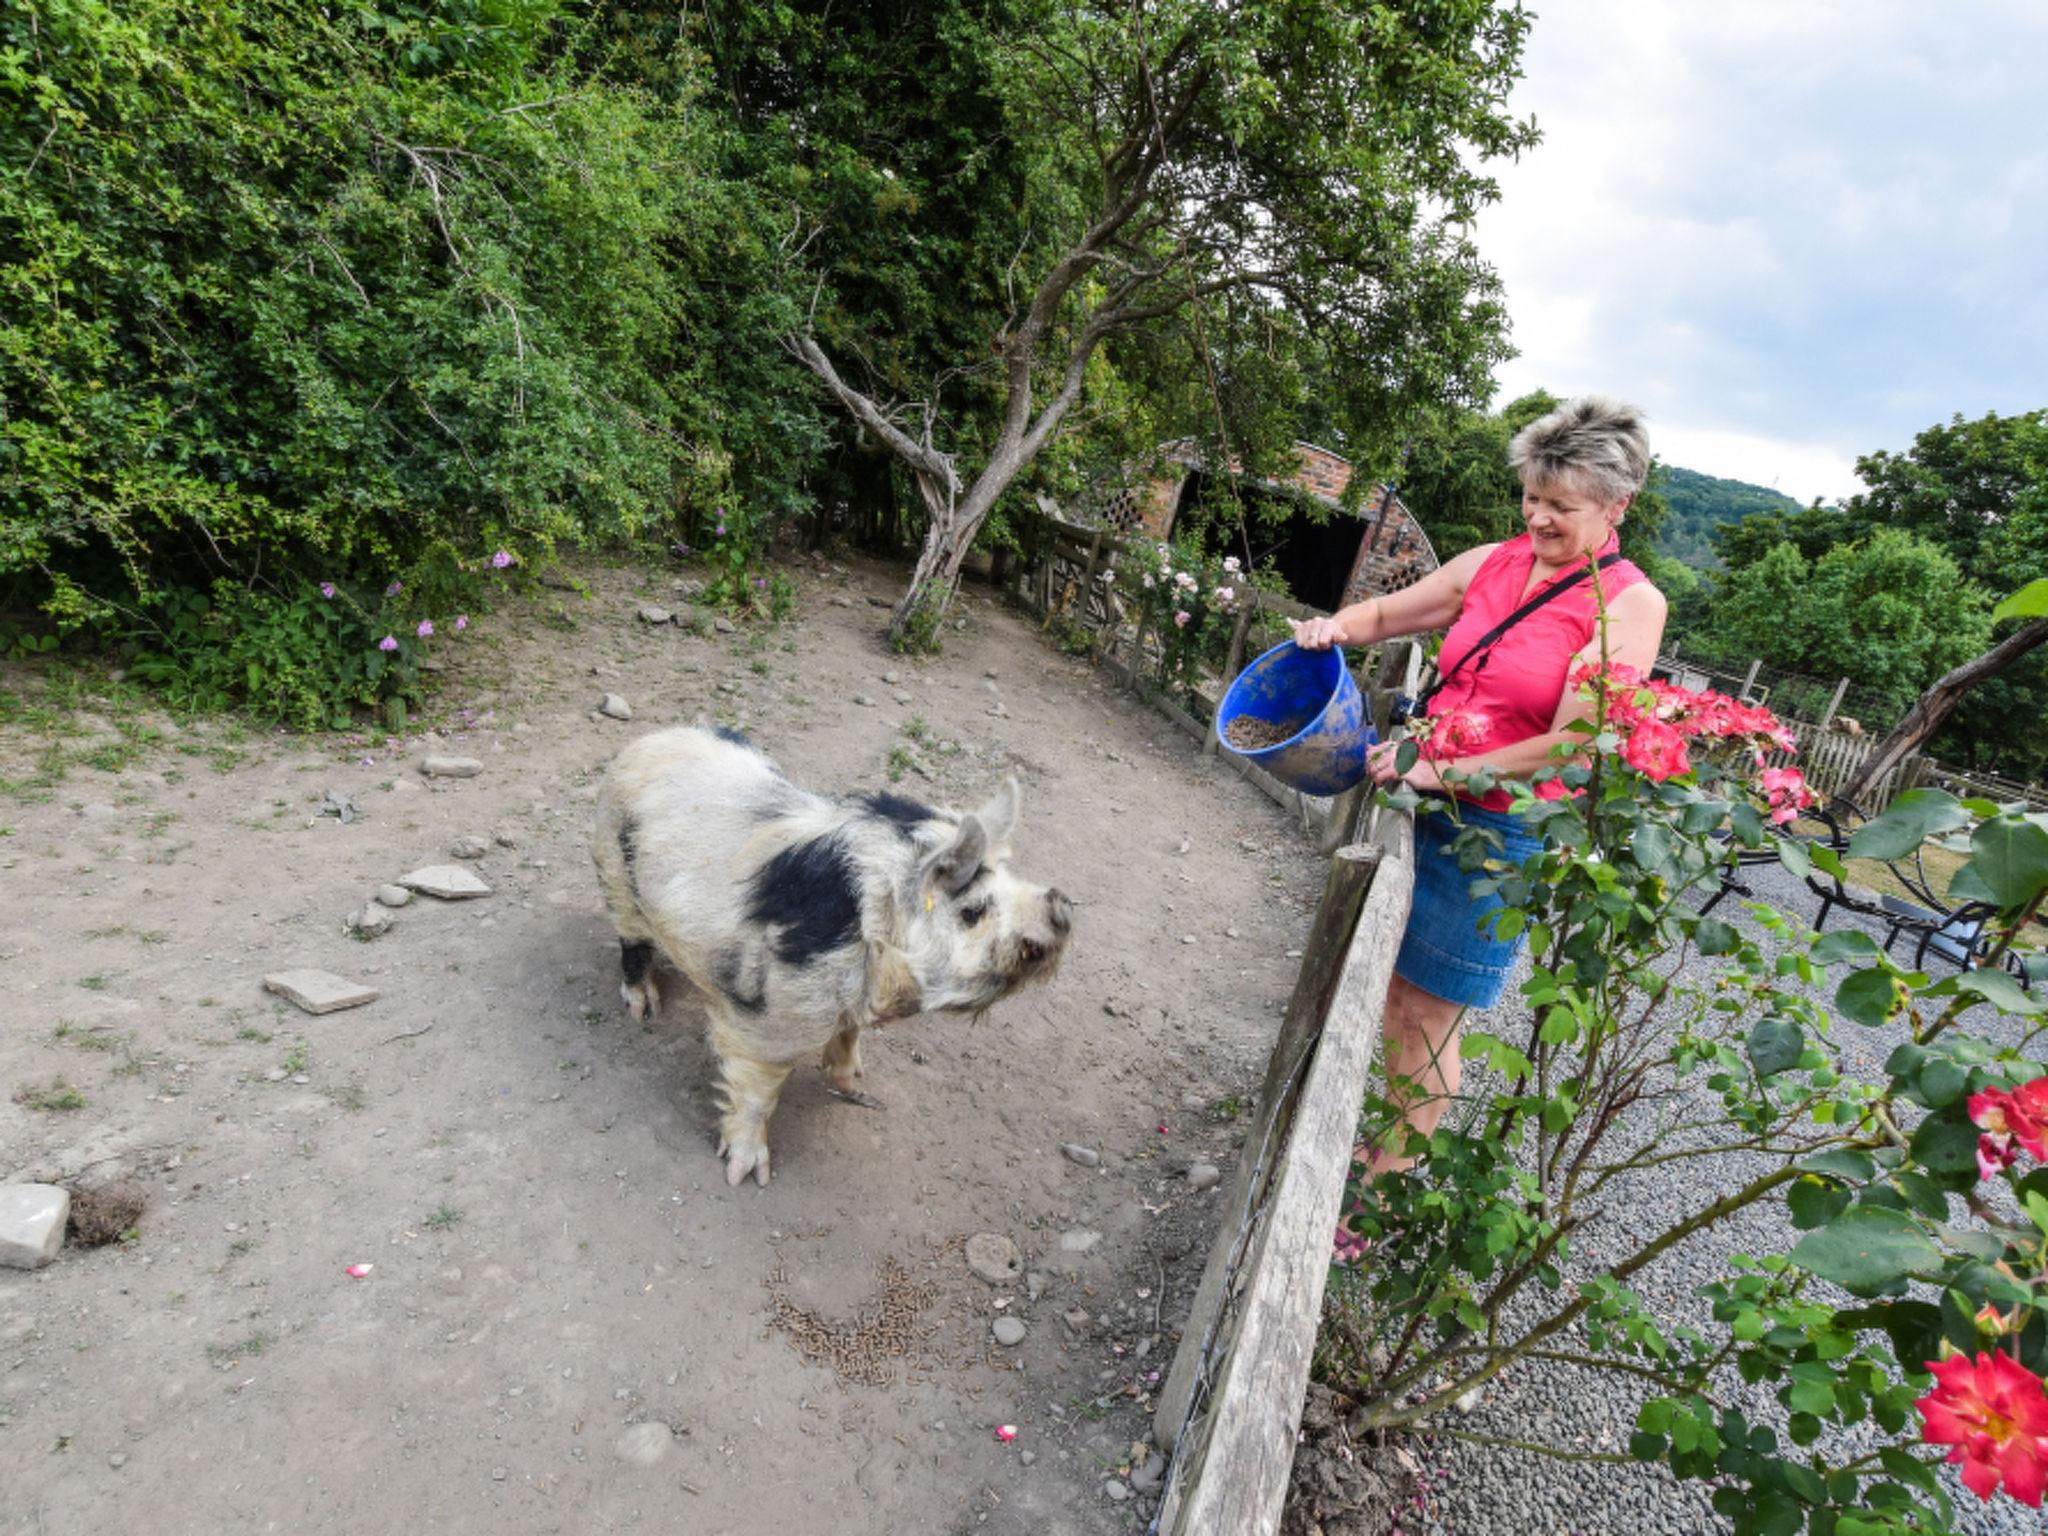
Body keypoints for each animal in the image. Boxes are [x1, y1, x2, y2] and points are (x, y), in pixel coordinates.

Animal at [593, 729, 1073, 1187]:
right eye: (973, 910)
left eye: (1013, 880)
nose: (1061, 904)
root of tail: (646, 742)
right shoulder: (770, 1019)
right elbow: (756, 1091)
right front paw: (746, 1175)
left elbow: (849, 1031)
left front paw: (852, 1079)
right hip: (615, 873)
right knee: (632, 942)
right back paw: (644, 1009)